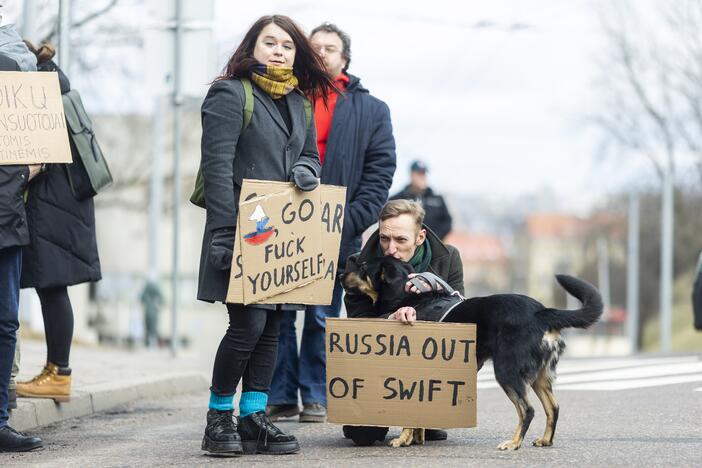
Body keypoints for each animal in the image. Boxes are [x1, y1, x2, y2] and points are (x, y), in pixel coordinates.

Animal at [344, 256, 604, 450]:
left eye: (364, 267)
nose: (341, 275)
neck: (406, 296)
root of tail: (541, 312)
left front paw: (403, 439)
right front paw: (415, 439)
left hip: (506, 371)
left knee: (527, 410)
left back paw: (514, 443)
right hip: (540, 377)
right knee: (553, 408)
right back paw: (545, 440)